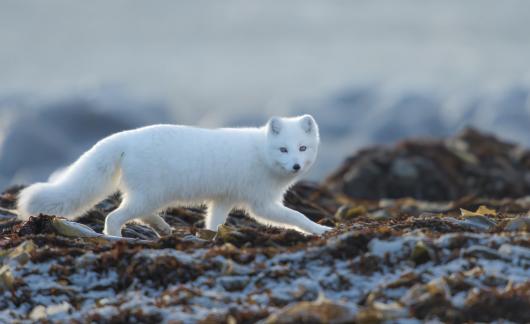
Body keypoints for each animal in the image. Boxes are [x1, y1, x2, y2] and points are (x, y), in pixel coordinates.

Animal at [17, 115, 330, 237]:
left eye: (302, 148)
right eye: (283, 149)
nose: (296, 166)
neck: (261, 155)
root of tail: (124, 138)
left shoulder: (224, 199)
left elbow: (214, 220)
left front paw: (212, 236)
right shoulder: (261, 204)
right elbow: (296, 216)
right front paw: (320, 229)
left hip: (149, 196)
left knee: (141, 215)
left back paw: (165, 230)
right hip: (150, 195)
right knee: (114, 217)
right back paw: (116, 238)